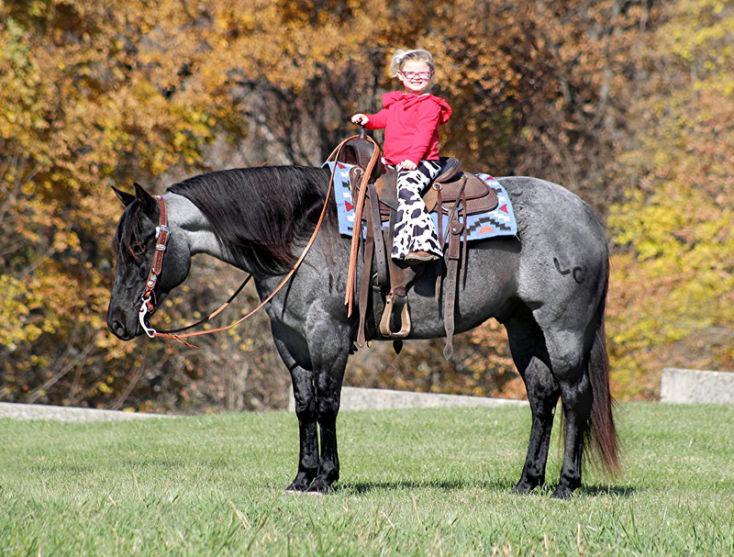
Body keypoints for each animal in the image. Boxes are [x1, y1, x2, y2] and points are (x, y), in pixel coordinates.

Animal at [107, 164, 618, 498]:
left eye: (139, 245)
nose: (117, 321)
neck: (300, 235)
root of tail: (588, 215)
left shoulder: (328, 334)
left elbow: (327, 404)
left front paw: (325, 478)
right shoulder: (289, 341)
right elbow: (304, 407)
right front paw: (301, 477)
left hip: (563, 329)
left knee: (575, 397)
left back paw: (566, 485)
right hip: (523, 328)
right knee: (542, 398)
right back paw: (527, 482)